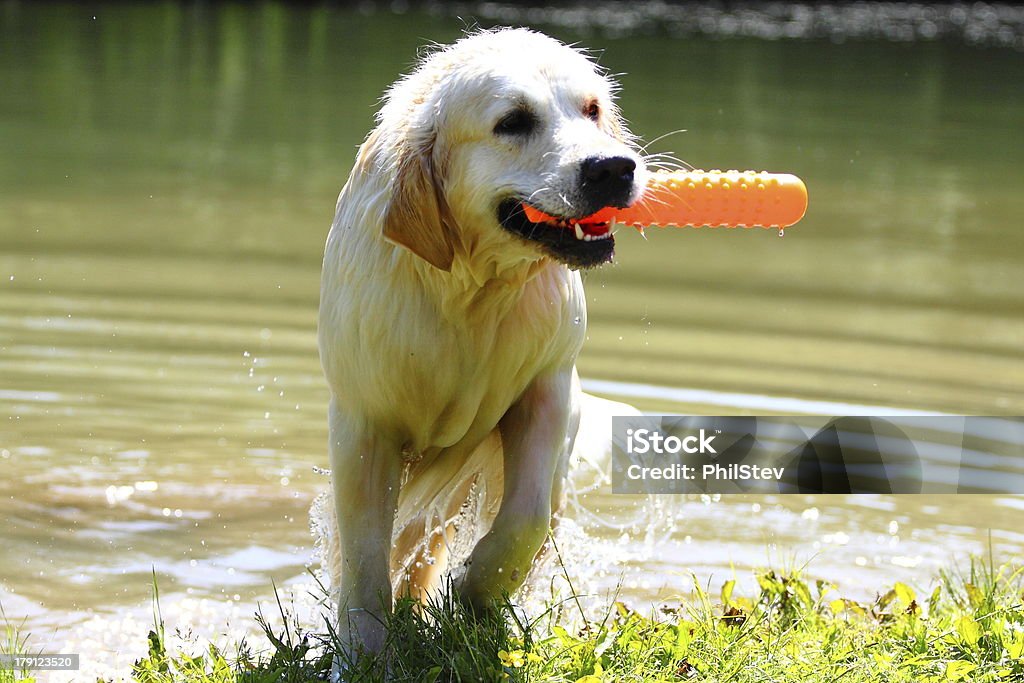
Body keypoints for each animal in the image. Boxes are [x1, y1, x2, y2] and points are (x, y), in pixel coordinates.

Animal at [315, 29, 643, 659]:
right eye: (512, 122)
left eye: (592, 109)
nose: (614, 167)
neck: (472, 288)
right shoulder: (365, 423)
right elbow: (364, 554)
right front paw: (365, 649)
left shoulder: (545, 389)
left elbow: (523, 519)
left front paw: (473, 593)